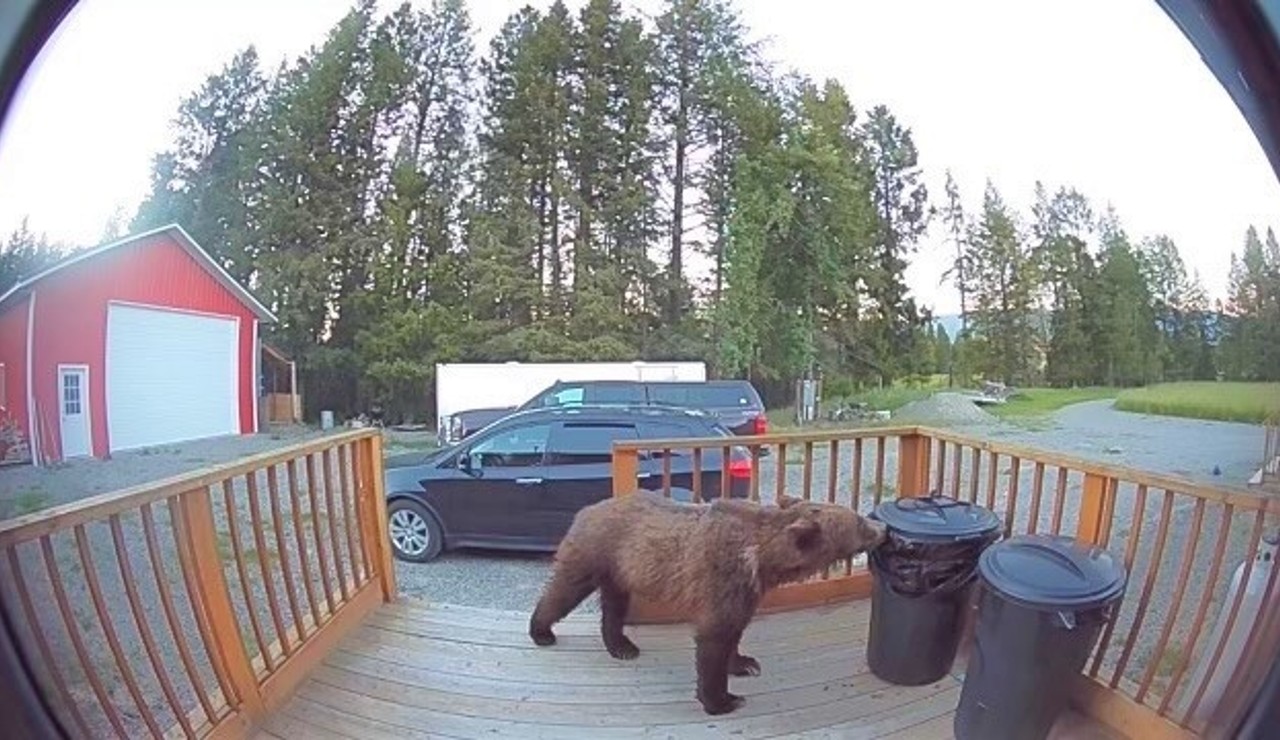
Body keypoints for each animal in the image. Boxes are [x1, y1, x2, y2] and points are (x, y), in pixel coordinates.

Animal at [527, 492, 888, 716]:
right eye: (859, 522)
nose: (883, 526)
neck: (763, 561)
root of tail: (587, 508)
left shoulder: (746, 590)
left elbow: (735, 630)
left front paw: (744, 663)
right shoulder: (723, 577)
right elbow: (714, 638)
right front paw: (723, 699)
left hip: (621, 567)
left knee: (615, 604)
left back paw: (622, 646)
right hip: (595, 550)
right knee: (566, 588)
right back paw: (541, 631)